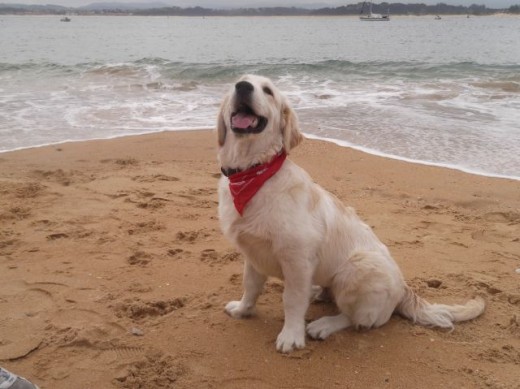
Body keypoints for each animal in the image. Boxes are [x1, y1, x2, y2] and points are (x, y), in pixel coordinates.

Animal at [217, 73, 486, 352]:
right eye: (239, 81)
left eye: (268, 91)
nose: (243, 87)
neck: (252, 172)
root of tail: (404, 289)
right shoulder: (253, 253)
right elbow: (250, 286)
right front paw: (242, 310)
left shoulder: (297, 258)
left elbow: (292, 300)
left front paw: (291, 335)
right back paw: (318, 292)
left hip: (356, 269)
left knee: (357, 318)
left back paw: (324, 325)